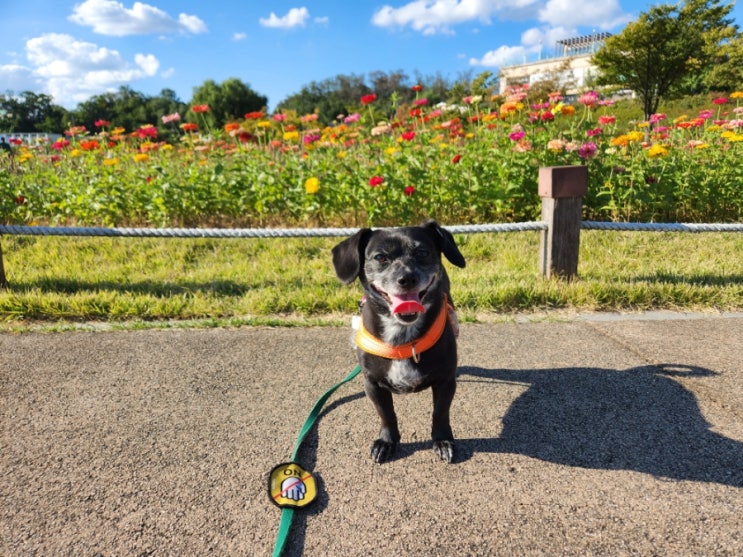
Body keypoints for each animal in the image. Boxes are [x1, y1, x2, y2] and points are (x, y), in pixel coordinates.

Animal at [336, 219, 468, 462]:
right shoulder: (372, 384)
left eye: (423, 252)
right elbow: (386, 414)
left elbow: (440, 412)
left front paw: (442, 440)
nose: (407, 278)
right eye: (380, 257)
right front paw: (387, 441)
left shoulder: (445, 381)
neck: (402, 336)